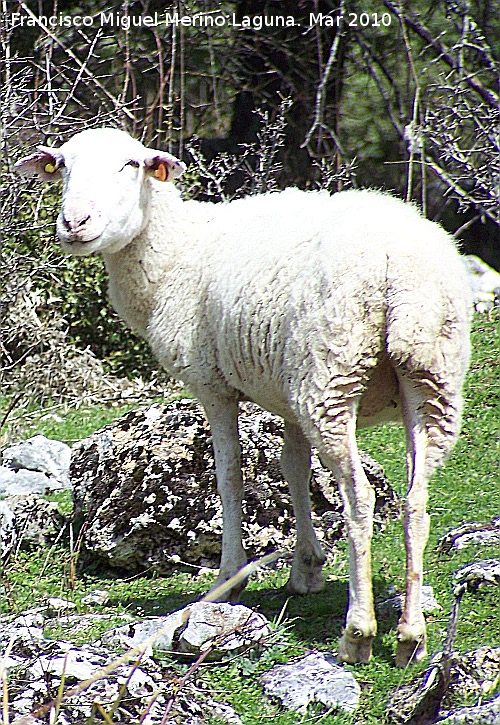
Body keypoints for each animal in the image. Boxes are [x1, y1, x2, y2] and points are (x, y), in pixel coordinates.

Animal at [16, 127, 472, 666]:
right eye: (62, 165)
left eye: (131, 164)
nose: (74, 224)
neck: (174, 254)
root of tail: (398, 268)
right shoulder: (289, 391)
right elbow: (293, 468)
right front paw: (307, 568)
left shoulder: (211, 381)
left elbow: (229, 474)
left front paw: (229, 576)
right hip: (427, 375)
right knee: (415, 501)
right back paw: (410, 636)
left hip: (333, 370)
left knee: (359, 498)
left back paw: (358, 633)